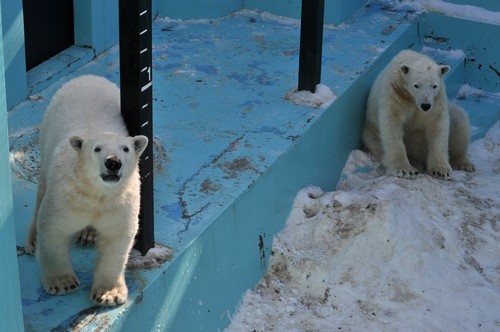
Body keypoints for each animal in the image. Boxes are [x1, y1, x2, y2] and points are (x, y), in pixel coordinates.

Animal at [24, 75, 148, 306]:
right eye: (97, 148)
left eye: (125, 149)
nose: (113, 162)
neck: (95, 192)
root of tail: (87, 77)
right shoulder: (64, 198)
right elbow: (53, 230)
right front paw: (62, 283)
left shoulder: (119, 202)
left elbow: (117, 238)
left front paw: (109, 294)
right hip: (47, 135)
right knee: (41, 191)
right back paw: (32, 240)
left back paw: (88, 234)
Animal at [362, 48, 474, 179]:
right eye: (416, 85)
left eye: (434, 86)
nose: (425, 105)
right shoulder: (394, 93)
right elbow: (392, 125)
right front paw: (405, 170)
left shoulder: (437, 99)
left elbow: (438, 126)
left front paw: (441, 170)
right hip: (371, 132)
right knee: (377, 141)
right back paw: (414, 163)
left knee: (459, 121)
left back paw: (464, 163)